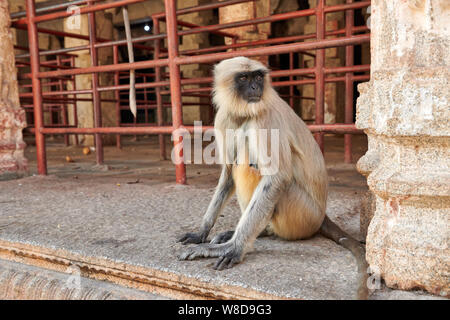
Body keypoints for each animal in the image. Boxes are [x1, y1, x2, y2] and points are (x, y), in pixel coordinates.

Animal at [178, 56, 368, 298]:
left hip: (303, 215)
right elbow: (228, 173)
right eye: (244, 78)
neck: (242, 112)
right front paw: (202, 232)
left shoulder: (263, 118)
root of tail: (321, 215)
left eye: (258, 77)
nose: (255, 88)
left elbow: (276, 177)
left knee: (252, 159)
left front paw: (233, 248)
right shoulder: (224, 118)